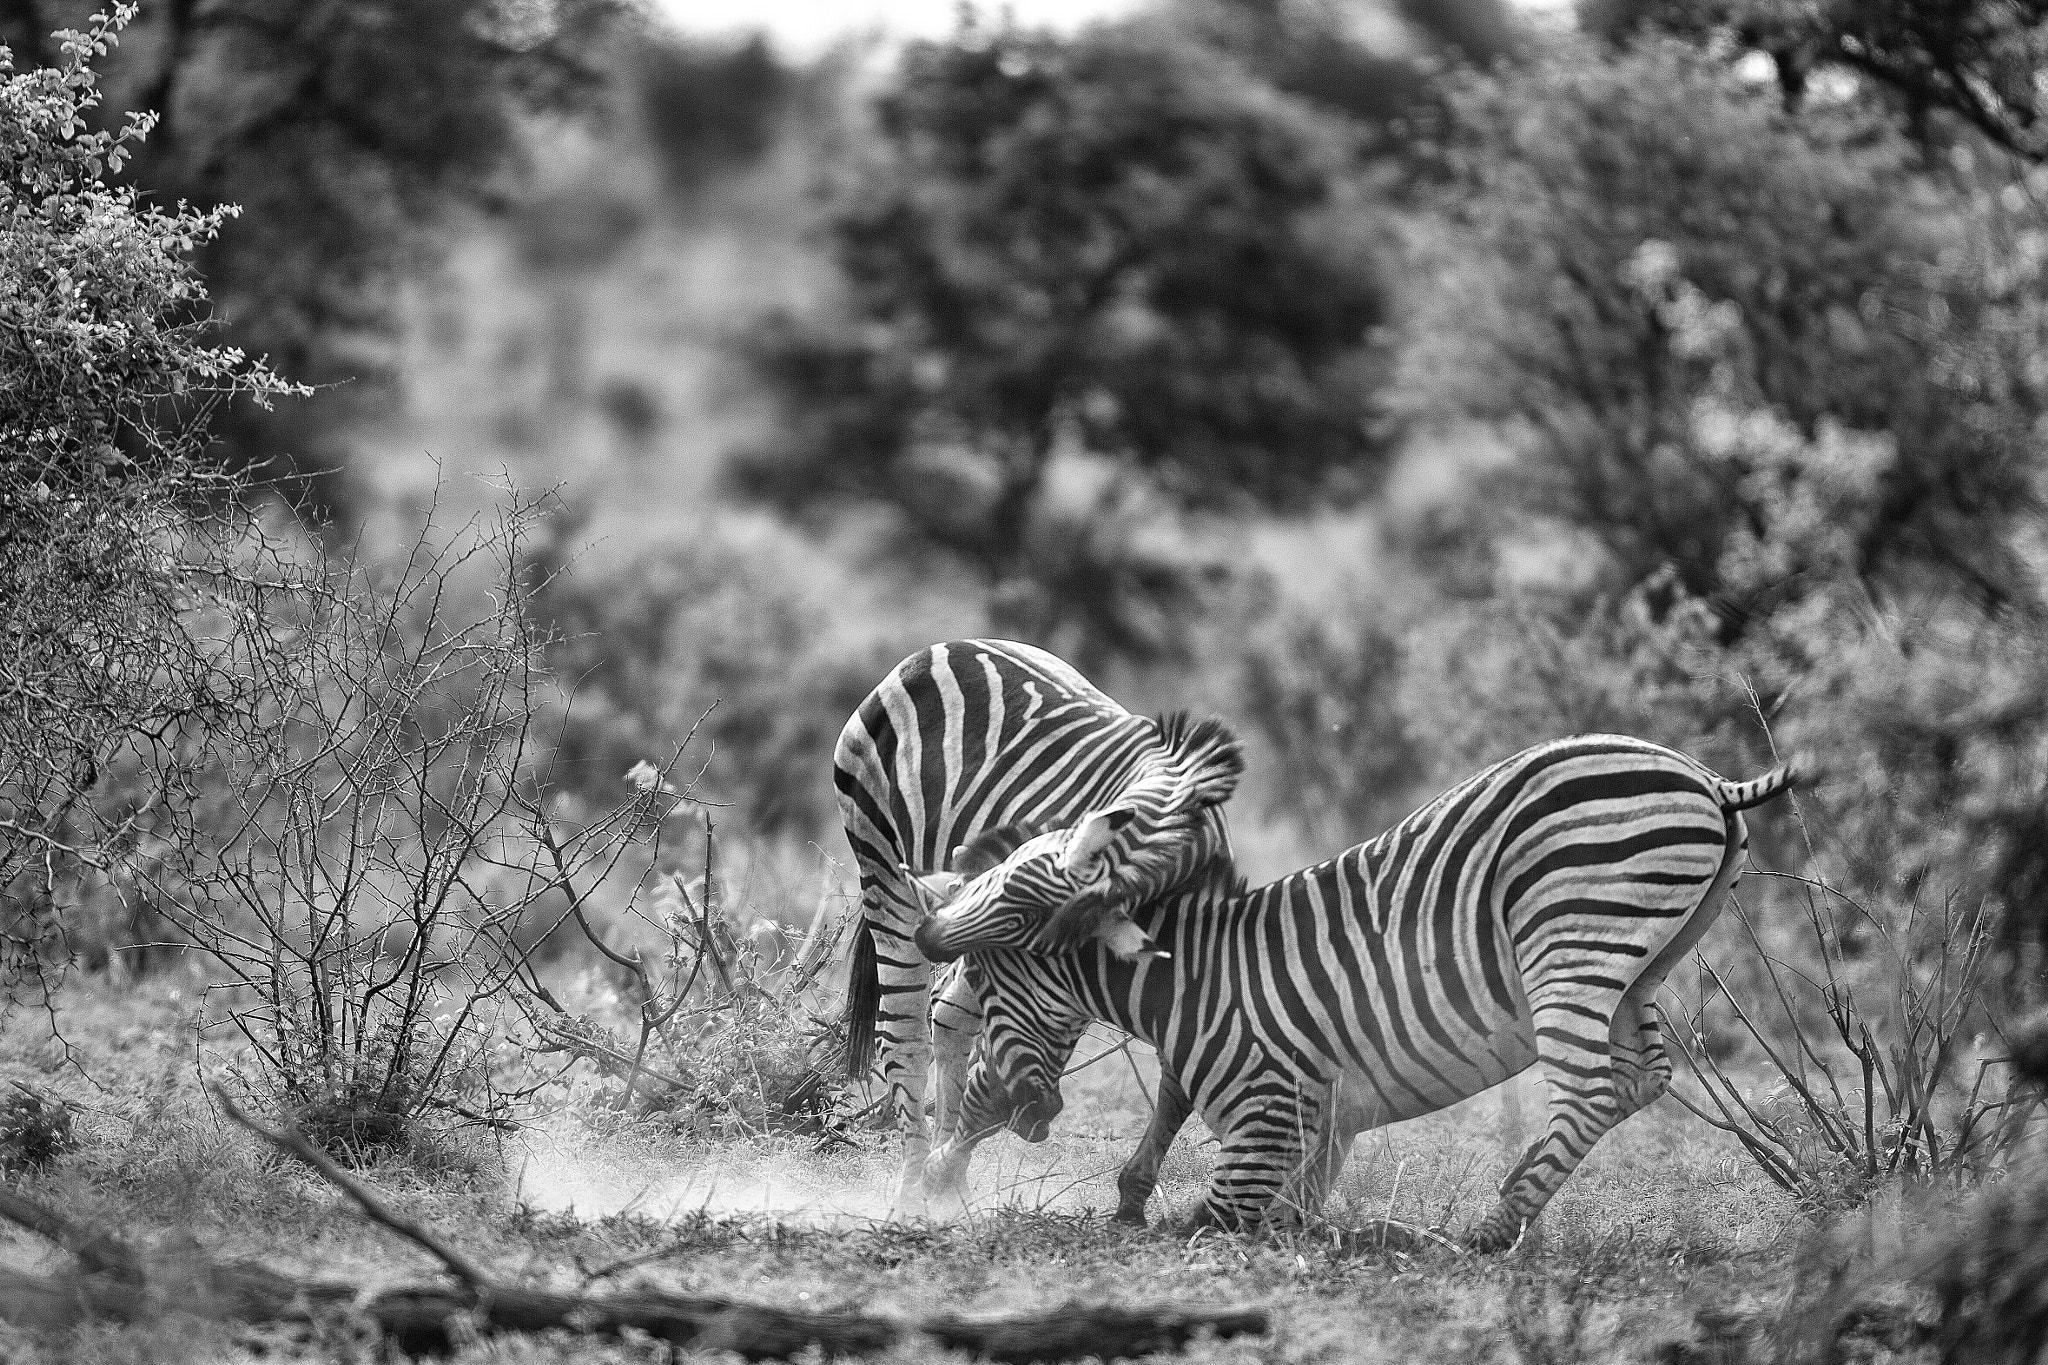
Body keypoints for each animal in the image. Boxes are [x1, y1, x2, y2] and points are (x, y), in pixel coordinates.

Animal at [835, 642, 1245, 1203]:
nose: (1034, 1113)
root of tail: (939, 650)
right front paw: (943, 1173)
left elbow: (1179, 1079)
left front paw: (1135, 1193)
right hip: (882, 874)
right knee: (905, 1039)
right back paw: (913, 1188)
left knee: (948, 1016)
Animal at [913, 732, 1794, 1252]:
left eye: (990, 971)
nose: (925, 936)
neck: (1195, 976)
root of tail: (1706, 777)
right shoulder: (1324, 1117)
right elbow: (1279, 1189)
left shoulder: (1268, 1112)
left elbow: (1217, 1214)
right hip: (1643, 962)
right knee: (1644, 1076)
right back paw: (1509, 1198)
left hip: (1570, 935)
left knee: (1589, 1090)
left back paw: (1491, 1227)